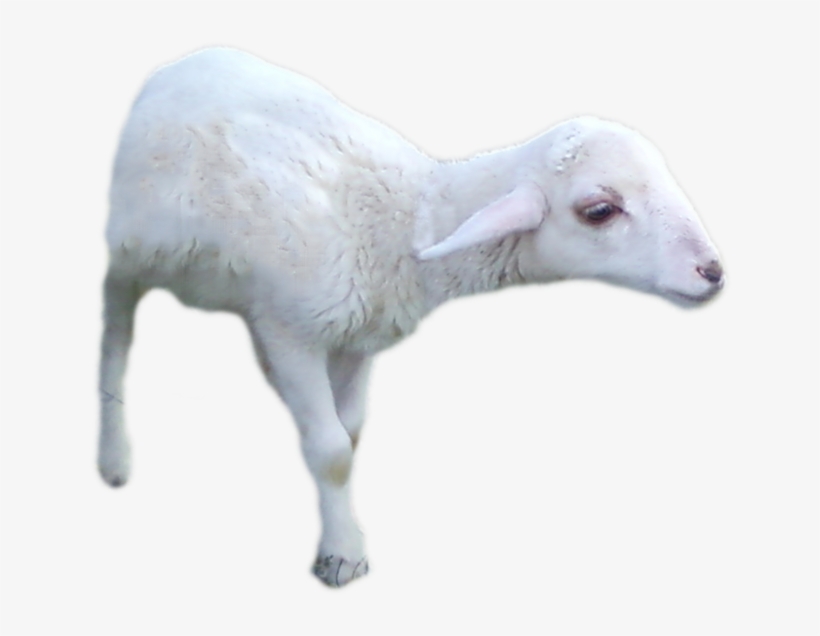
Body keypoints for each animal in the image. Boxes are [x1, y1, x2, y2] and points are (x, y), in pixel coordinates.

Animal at [99, 47, 724, 587]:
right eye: (599, 211)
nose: (712, 271)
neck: (402, 223)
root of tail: (185, 63)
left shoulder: (359, 336)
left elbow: (350, 432)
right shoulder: (290, 329)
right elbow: (330, 451)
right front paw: (343, 554)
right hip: (132, 252)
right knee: (116, 338)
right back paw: (113, 457)